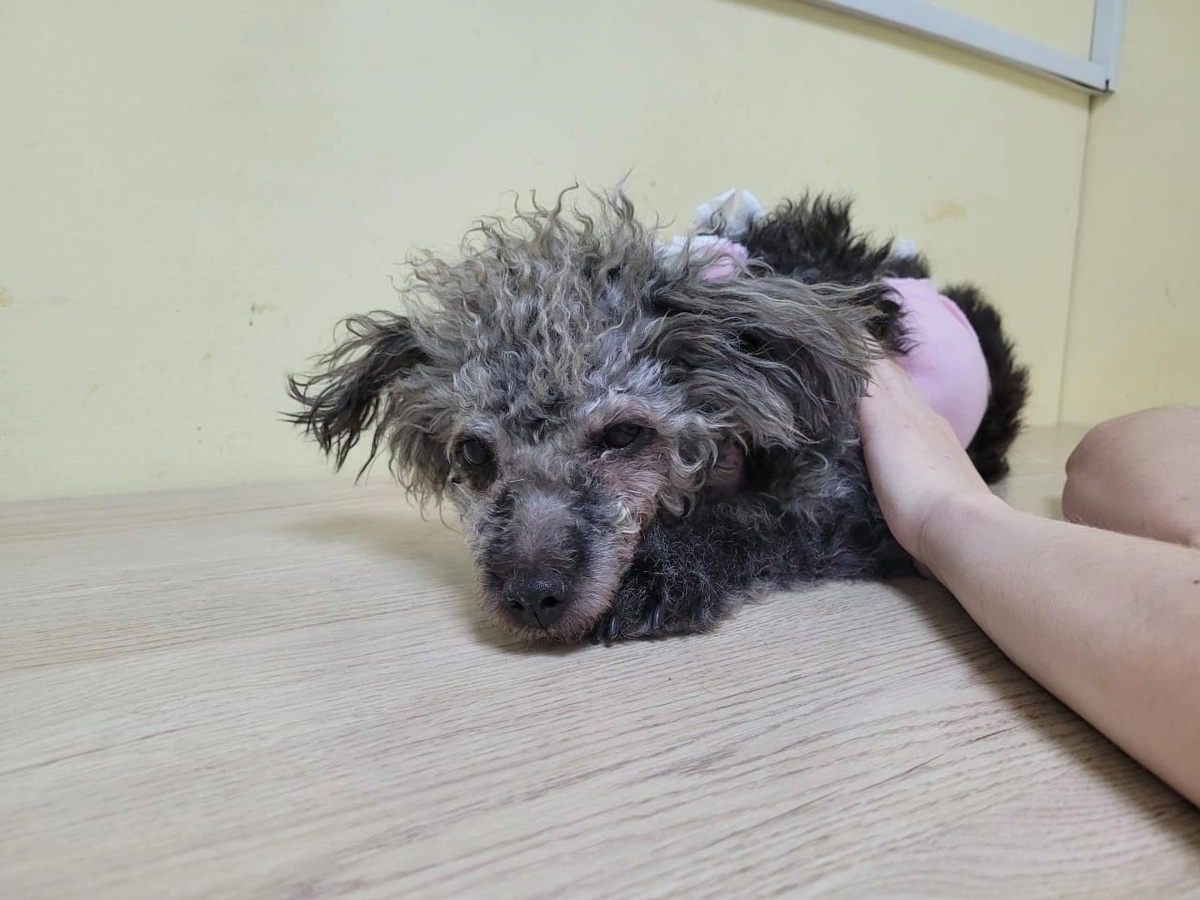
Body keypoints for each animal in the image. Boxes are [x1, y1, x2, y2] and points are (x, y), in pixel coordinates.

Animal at [287, 188, 1028, 644]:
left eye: (622, 435)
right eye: (472, 454)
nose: (532, 596)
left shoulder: (846, 503)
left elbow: (754, 523)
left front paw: (660, 575)